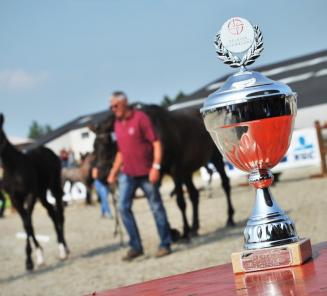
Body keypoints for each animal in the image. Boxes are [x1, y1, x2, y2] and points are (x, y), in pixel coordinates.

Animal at [0, 114, 69, 272]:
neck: (13, 167)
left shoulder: (30, 194)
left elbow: (27, 223)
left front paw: (31, 260)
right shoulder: (15, 199)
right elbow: (28, 225)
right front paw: (35, 258)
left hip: (54, 187)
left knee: (59, 214)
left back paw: (63, 249)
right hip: (42, 193)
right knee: (51, 212)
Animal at [93, 105, 236, 239]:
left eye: (106, 143)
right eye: (94, 145)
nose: (101, 175)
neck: (157, 131)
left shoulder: (175, 171)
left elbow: (179, 202)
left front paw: (184, 232)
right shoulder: (158, 175)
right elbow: (158, 204)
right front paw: (173, 232)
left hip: (216, 158)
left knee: (225, 184)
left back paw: (229, 218)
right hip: (187, 172)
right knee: (194, 195)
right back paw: (194, 227)